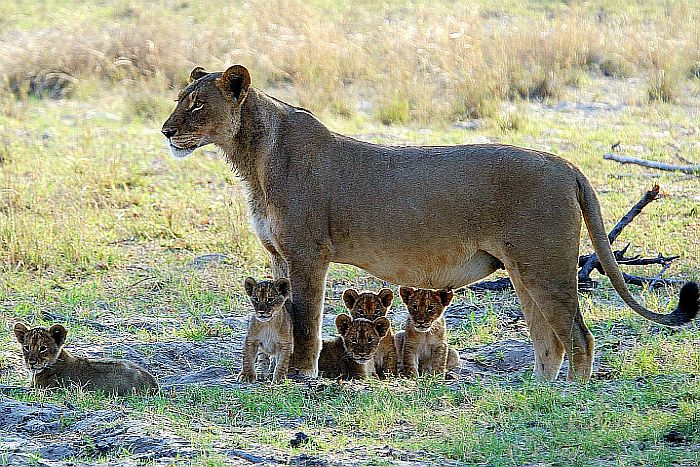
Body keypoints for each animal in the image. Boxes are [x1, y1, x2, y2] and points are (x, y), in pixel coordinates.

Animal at [162, 64, 699, 381]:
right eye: (178, 99)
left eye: (196, 104)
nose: (166, 130)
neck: (251, 157)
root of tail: (565, 164)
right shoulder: (277, 259)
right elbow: (283, 317)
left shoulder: (308, 254)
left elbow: (306, 322)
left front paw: (299, 378)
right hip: (526, 272)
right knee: (549, 340)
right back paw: (538, 392)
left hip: (546, 266)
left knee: (579, 337)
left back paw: (568, 400)